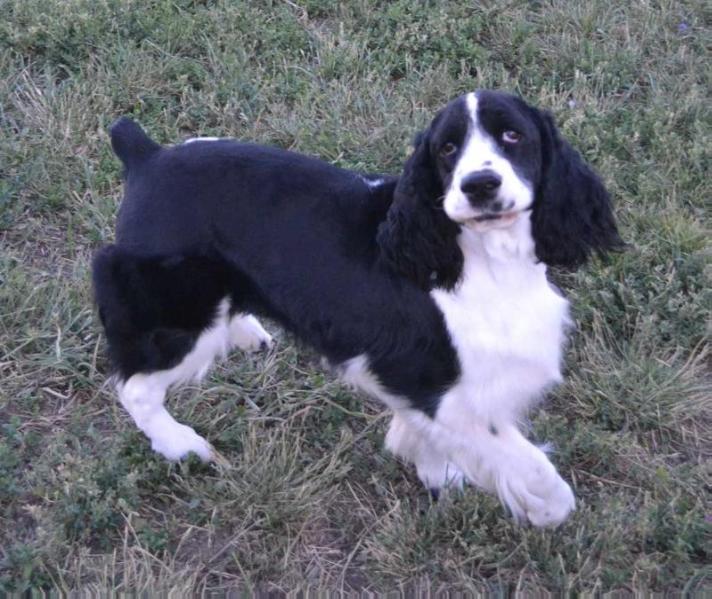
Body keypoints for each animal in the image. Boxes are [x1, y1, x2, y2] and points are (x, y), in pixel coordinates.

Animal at [92, 89, 620, 524]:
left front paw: (434, 471)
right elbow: (540, 476)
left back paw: (248, 333)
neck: (483, 258)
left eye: (513, 134)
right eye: (447, 149)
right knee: (136, 387)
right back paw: (181, 445)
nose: (480, 184)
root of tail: (146, 155)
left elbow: (419, 433)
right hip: (177, 311)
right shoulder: (448, 387)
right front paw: (540, 508)